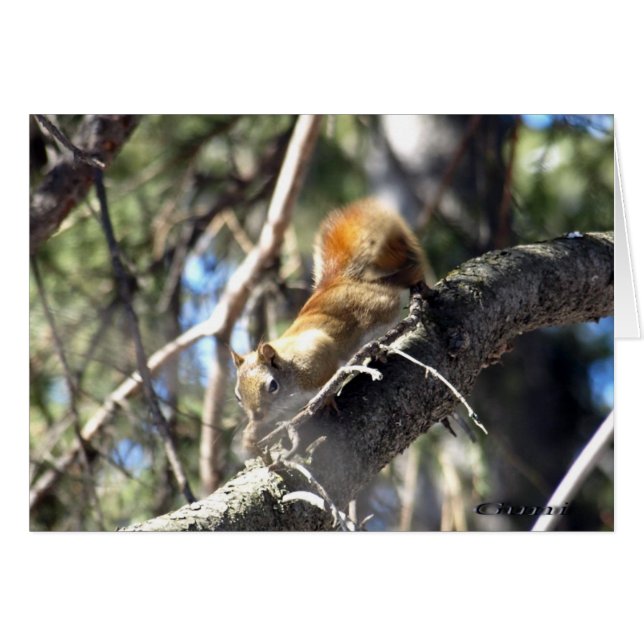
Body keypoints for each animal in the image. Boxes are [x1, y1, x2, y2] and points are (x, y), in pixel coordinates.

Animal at [231, 198, 426, 449]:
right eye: (238, 396)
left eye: (272, 385)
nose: (257, 416)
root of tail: (338, 282)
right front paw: (250, 435)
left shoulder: (317, 355)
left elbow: (330, 376)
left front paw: (327, 400)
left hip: (380, 307)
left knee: (395, 288)